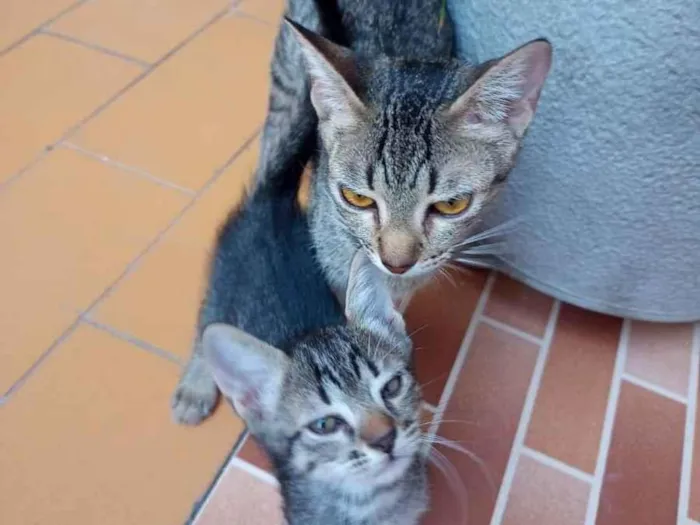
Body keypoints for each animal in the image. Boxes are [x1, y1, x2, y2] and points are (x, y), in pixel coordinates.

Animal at [172, 141, 430, 520]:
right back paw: (196, 388)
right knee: (204, 331)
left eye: (392, 387)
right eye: (325, 426)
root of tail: (269, 200)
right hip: (218, 291)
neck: (371, 504)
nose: (385, 439)